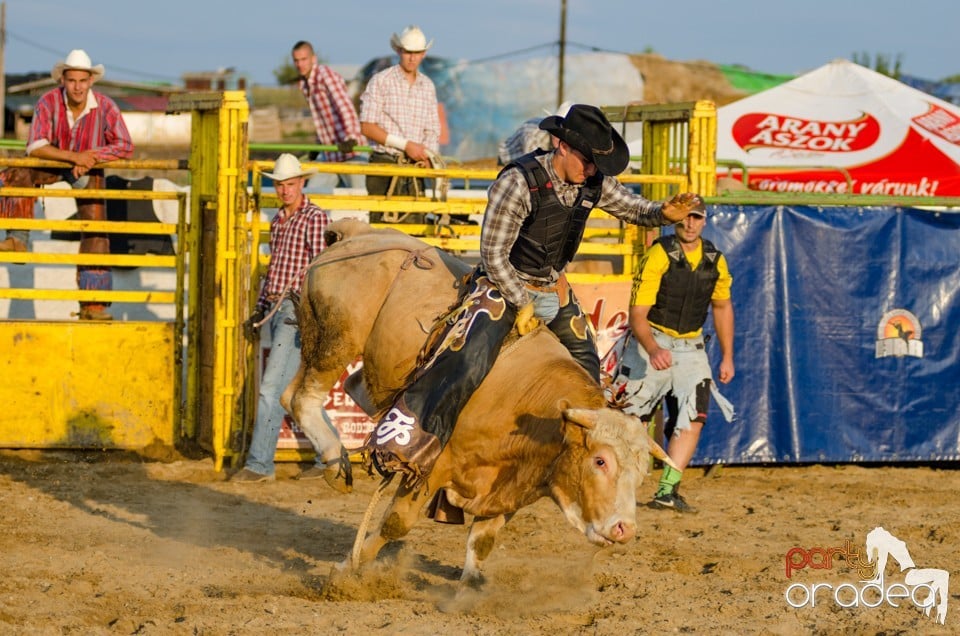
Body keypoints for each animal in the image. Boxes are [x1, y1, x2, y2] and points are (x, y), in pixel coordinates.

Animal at [284, 220, 668, 588]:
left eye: (641, 473)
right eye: (600, 461)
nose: (624, 529)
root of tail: (357, 233)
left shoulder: (512, 484)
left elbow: (483, 539)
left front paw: (470, 588)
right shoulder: (433, 467)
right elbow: (396, 523)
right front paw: (347, 569)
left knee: (303, 393)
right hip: (335, 336)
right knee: (304, 397)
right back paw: (336, 463)